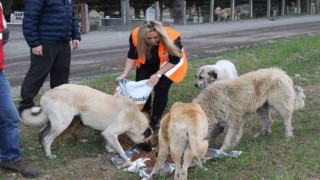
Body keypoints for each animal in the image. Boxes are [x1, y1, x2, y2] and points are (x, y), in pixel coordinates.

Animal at [21, 84, 152, 169]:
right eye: (147, 140)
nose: (151, 150)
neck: (135, 117)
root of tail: (46, 95)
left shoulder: (107, 133)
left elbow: (108, 142)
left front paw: (109, 149)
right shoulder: (111, 133)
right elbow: (121, 150)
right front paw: (127, 161)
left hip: (55, 123)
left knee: (41, 132)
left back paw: (42, 148)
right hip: (62, 124)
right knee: (48, 139)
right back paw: (49, 155)